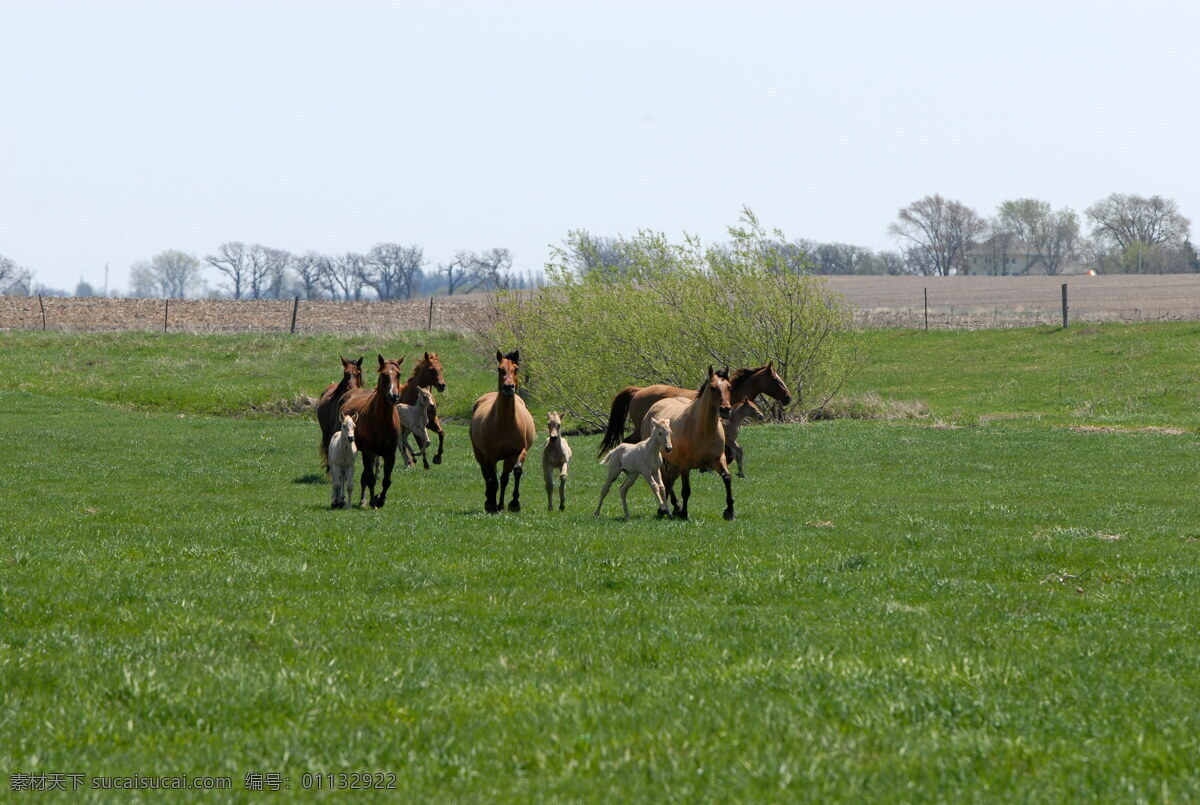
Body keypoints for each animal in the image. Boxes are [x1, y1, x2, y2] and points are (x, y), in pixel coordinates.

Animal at [340, 355, 405, 506]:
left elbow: (386, 481)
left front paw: (380, 499)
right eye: (384, 374)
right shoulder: (368, 451)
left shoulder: (390, 454)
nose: (393, 396)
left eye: (398, 374)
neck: (382, 420)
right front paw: (373, 501)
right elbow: (370, 478)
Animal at [470, 352, 537, 515]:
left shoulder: (517, 452)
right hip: (479, 452)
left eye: (516, 368)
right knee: (486, 475)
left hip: (507, 457)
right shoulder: (490, 456)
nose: (508, 387)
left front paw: (514, 503)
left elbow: (514, 473)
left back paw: (500, 504)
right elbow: (493, 480)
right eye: (500, 369)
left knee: (503, 478)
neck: (505, 423)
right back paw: (490, 502)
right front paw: (493, 506)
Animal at [643, 367, 734, 523]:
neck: (703, 430)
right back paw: (671, 508)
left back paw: (669, 509)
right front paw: (684, 514)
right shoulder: (685, 465)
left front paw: (729, 512)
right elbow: (686, 490)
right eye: (712, 387)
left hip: (673, 463)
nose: (725, 410)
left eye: (729, 387)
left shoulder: (717, 460)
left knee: (669, 480)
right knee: (665, 481)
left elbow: (727, 478)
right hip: (661, 461)